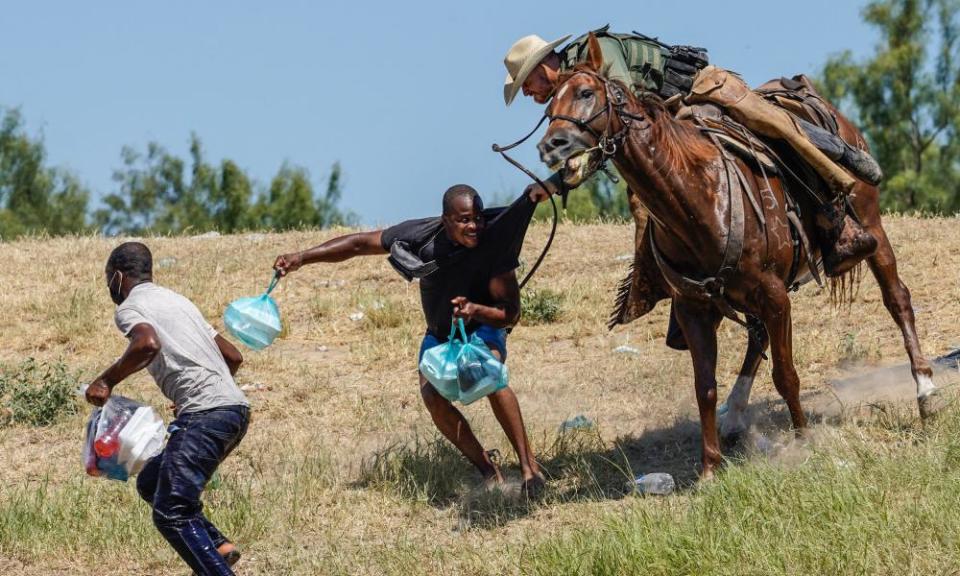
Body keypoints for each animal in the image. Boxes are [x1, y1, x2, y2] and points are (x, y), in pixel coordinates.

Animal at [536, 35, 940, 476]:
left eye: (586, 93)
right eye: (548, 107)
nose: (551, 145)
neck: (698, 197)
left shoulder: (775, 296)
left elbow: (786, 375)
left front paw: (804, 442)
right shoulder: (695, 308)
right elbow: (705, 387)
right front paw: (710, 468)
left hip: (871, 227)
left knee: (897, 298)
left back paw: (926, 391)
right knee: (756, 337)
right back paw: (734, 416)